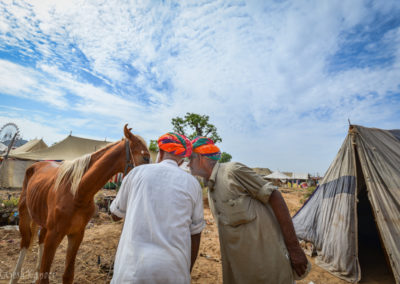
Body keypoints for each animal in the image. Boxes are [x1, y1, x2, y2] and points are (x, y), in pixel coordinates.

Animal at [9, 125, 151, 282]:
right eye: (145, 157)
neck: (77, 193)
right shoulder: (54, 236)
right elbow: (44, 278)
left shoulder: (76, 235)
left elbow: (68, 275)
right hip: (24, 216)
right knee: (26, 243)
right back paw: (14, 277)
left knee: (40, 240)